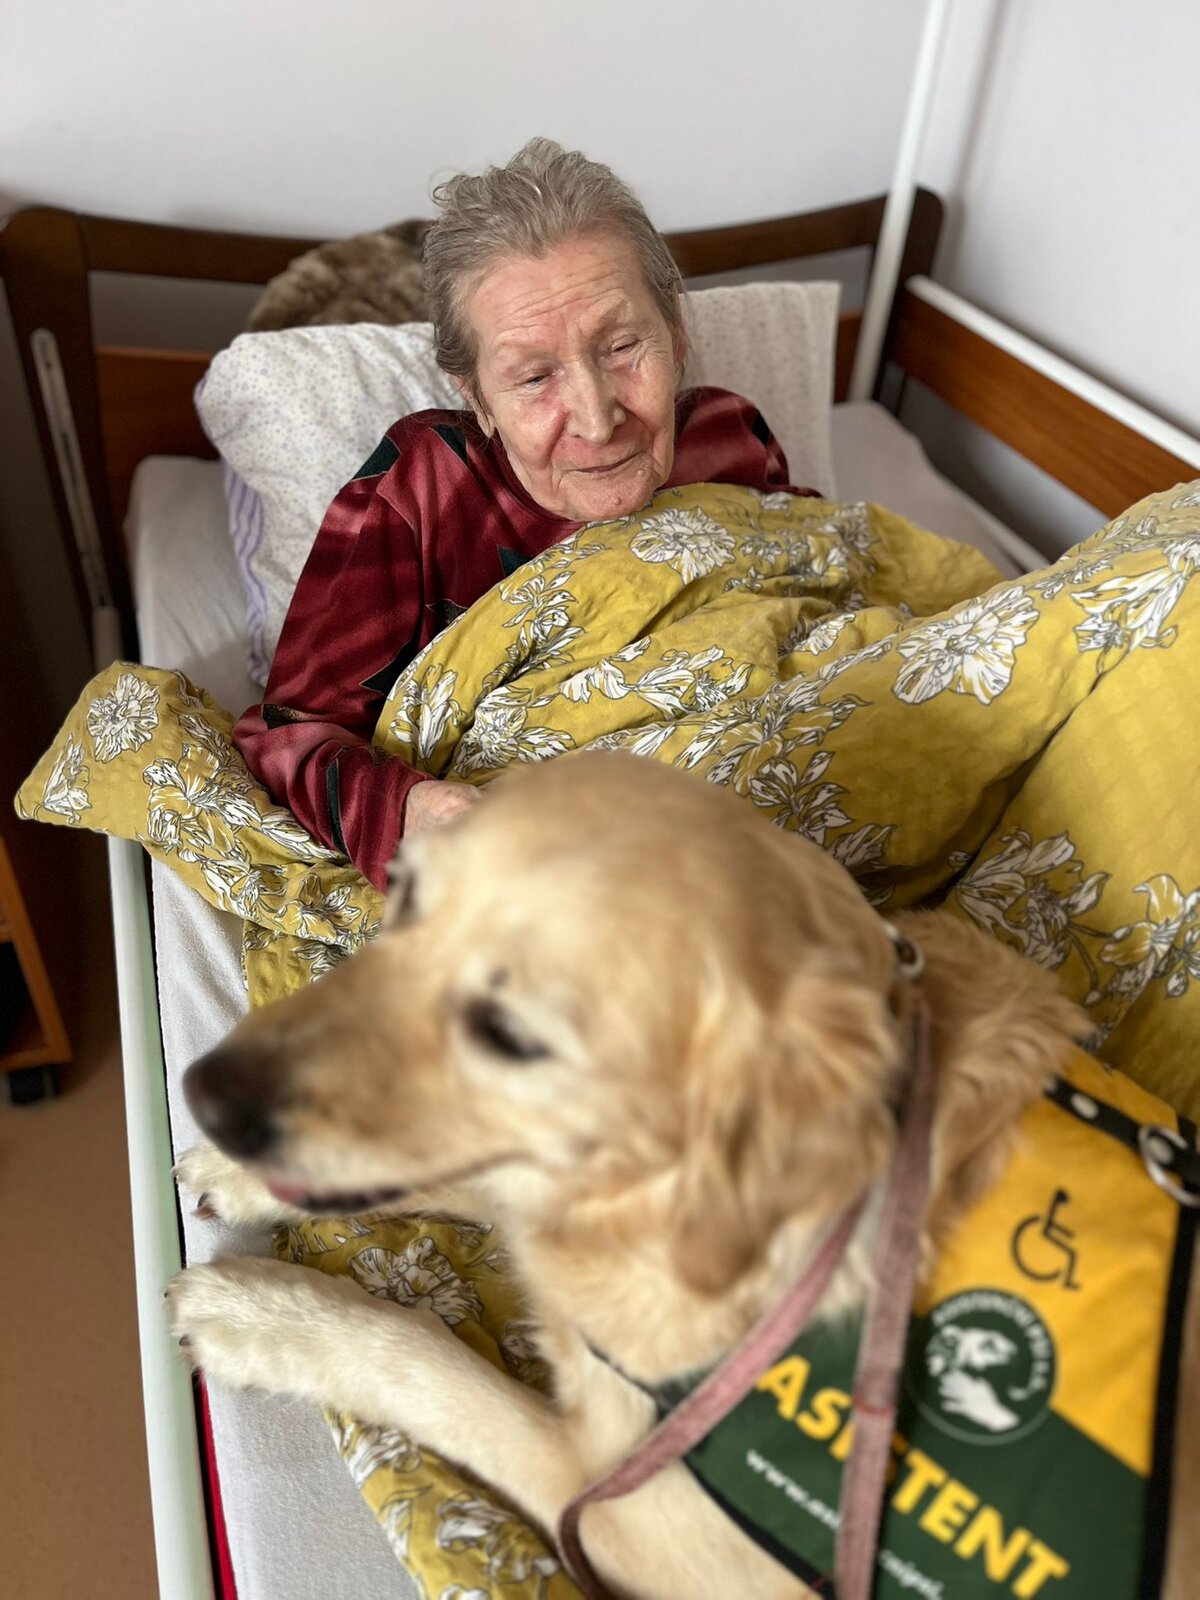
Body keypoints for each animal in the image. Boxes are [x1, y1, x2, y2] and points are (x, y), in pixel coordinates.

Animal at [169, 752, 1199, 1599]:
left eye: (512, 1035)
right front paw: (233, 1181)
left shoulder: (611, 1510)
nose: (204, 1094)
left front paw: (256, 1317)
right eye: (406, 895)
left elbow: (425, 1359)